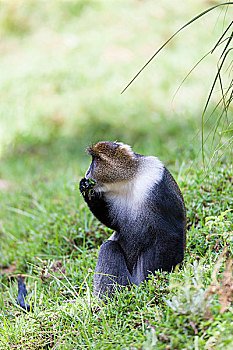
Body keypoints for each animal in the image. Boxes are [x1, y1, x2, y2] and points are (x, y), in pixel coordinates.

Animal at [79, 141, 186, 300]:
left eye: (97, 160)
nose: (87, 173)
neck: (129, 179)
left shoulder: (156, 184)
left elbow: (171, 233)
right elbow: (114, 224)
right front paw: (86, 189)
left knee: (109, 248)